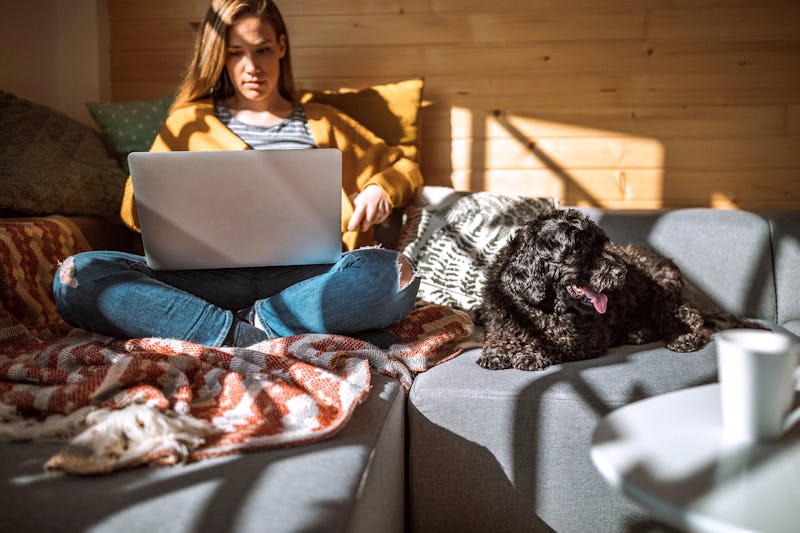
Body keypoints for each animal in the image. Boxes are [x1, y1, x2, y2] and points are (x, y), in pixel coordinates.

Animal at [478, 208, 760, 370]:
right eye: (578, 248)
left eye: (601, 244)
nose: (621, 272)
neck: (542, 307)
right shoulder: (502, 320)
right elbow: (499, 335)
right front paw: (497, 350)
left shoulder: (588, 337)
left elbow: (558, 342)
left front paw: (531, 353)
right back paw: (637, 333)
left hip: (664, 295)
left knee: (689, 318)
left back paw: (684, 337)